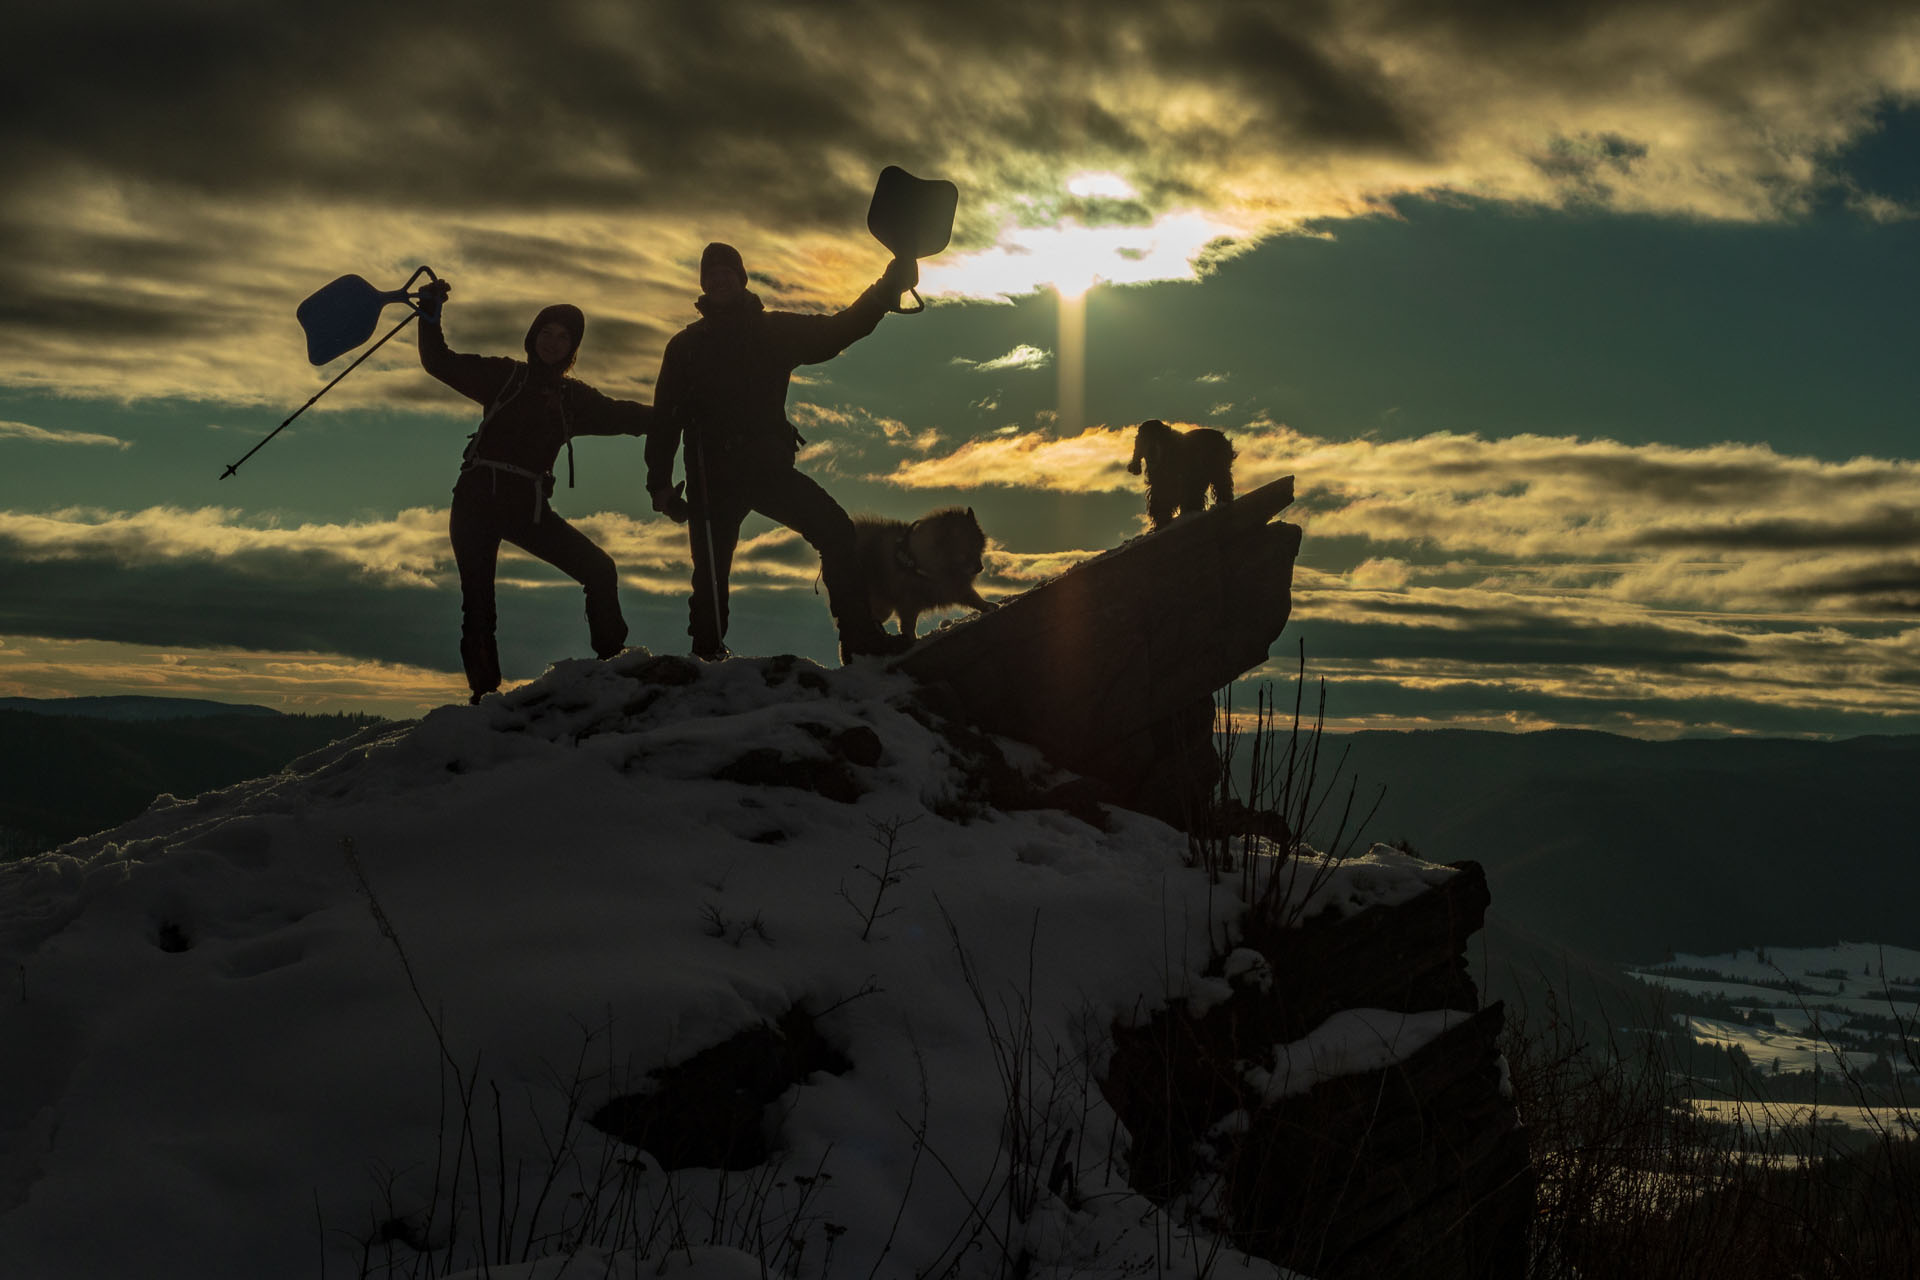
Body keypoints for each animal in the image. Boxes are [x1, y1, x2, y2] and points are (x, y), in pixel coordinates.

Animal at [860, 502, 1006, 637]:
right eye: (964, 553)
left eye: (977, 547)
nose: (980, 567)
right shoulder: (909, 604)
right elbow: (908, 627)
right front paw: (912, 640)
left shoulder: (953, 587)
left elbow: (973, 597)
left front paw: (987, 605)